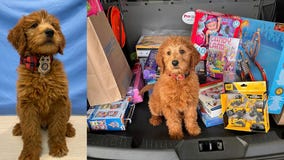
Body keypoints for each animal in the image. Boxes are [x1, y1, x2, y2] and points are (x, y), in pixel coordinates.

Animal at [7, 10, 76, 160]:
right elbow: (30, 131)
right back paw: (19, 128)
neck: (41, 66)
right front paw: (29, 153)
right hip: (18, 107)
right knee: (24, 124)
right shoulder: (27, 105)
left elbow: (58, 127)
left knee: (63, 122)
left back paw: (68, 128)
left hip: (68, 105)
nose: (50, 31)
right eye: (34, 25)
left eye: (53, 25)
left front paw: (58, 147)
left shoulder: (60, 101)